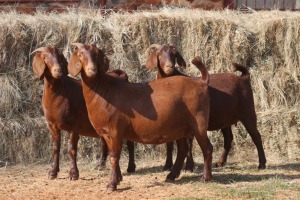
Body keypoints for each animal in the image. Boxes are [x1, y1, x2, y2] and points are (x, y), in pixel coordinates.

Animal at [30, 46, 136, 180]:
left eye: (59, 56)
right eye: (44, 57)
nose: (58, 70)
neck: (60, 92)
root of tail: (122, 76)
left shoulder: (74, 125)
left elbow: (72, 149)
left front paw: (73, 174)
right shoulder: (52, 125)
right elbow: (55, 148)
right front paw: (53, 172)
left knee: (130, 142)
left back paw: (131, 167)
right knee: (104, 142)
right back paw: (100, 165)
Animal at [68, 43, 213, 191]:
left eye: (97, 54)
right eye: (80, 54)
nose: (92, 69)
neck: (103, 91)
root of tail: (201, 83)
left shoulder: (115, 130)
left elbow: (114, 156)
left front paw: (112, 184)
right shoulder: (107, 133)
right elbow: (114, 156)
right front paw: (118, 179)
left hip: (199, 122)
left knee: (207, 148)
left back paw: (206, 178)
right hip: (181, 127)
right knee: (183, 149)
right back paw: (171, 176)